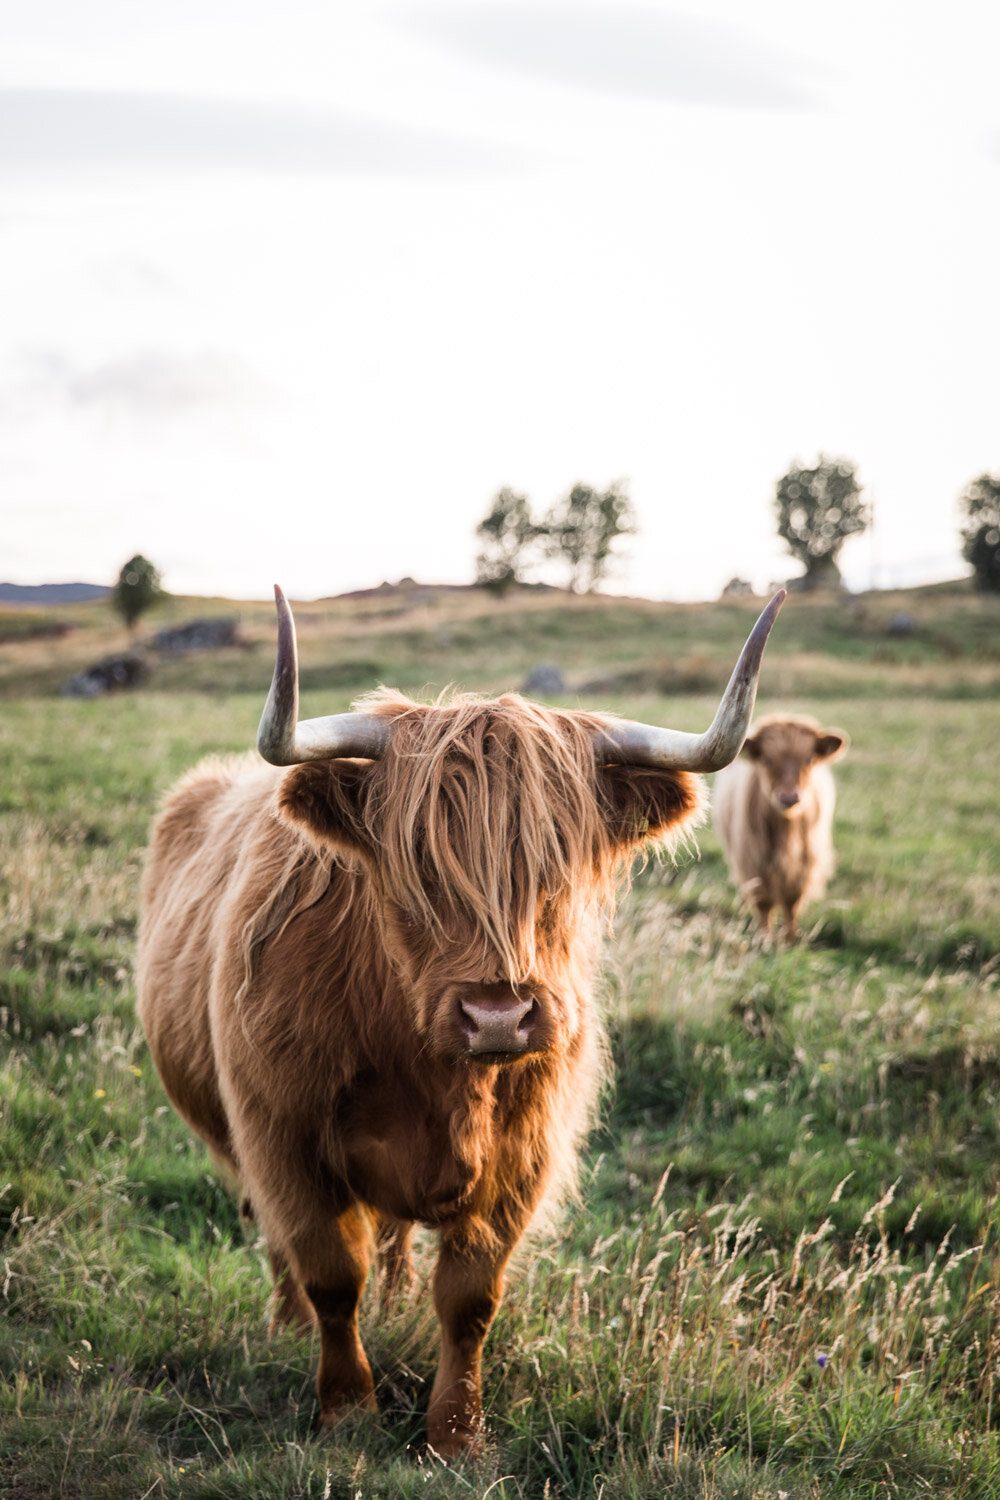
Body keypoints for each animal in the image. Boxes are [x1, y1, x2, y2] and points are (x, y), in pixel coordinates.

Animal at [137, 585, 785, 1452]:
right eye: (416, 868)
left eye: (558, 867)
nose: (498, 1016)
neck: (431, 1072)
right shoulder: (283, 1135)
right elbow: (329, 1274)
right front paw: (347, 1408)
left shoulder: (522, 1156)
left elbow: (470, 1298)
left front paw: (455, 1432)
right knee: (282, 1244)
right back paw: (285, 1326)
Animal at [716, 714, 851, 936]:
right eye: (767, 759)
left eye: (809, 759)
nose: (788, 797)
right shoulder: (752, 861)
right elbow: (763, 903)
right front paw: (764, 937)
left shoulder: (805, 863)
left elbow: (792, 902)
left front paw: (790, 937)